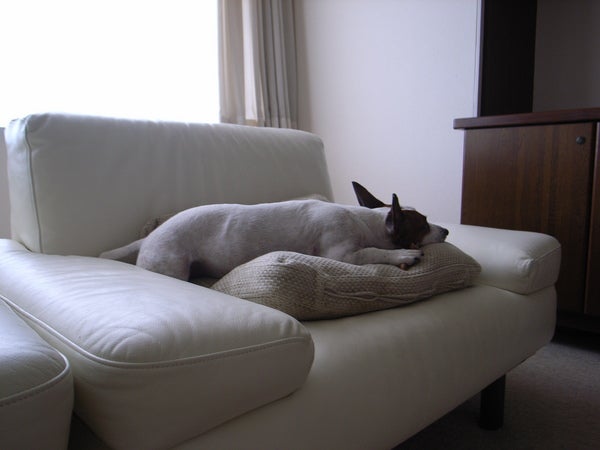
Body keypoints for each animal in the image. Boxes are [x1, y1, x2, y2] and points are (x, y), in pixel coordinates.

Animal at [100, 182, 448, 280]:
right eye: (423, 223)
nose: (446, 230)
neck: (366, 221)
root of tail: (149, 236)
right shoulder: (342, 253)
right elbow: (374, 251)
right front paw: (403, 254)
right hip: (171, 265)